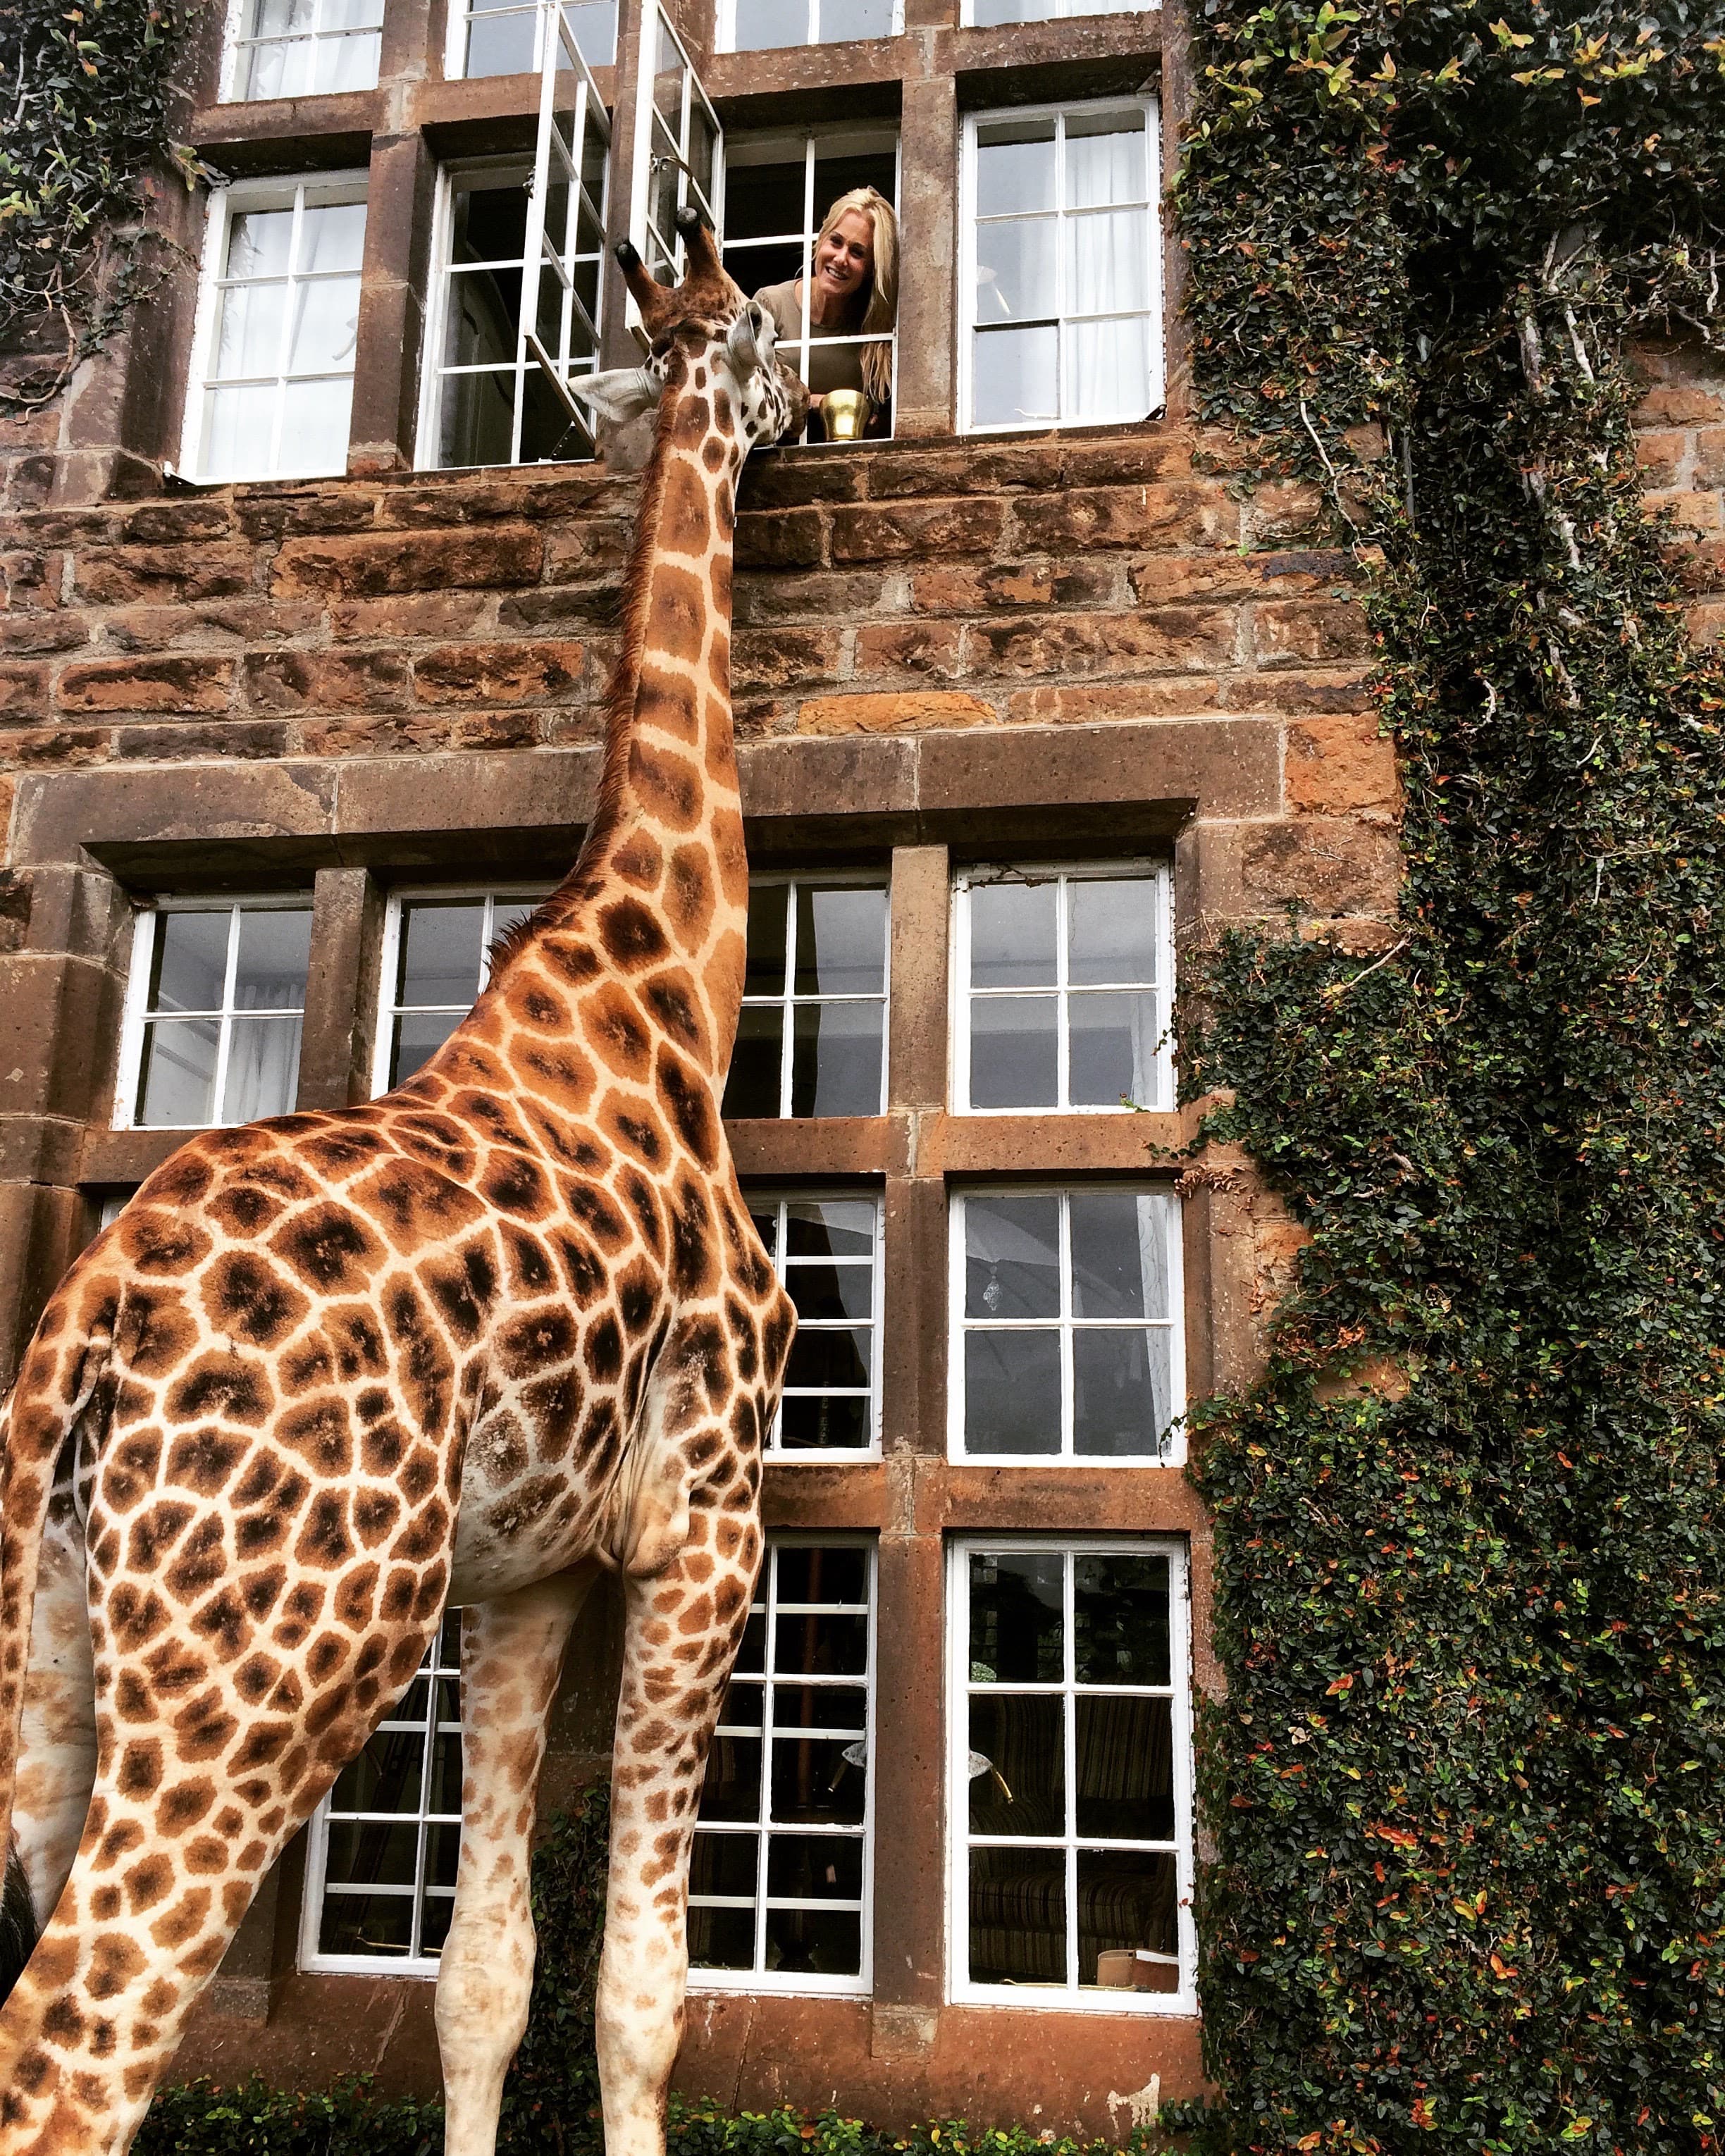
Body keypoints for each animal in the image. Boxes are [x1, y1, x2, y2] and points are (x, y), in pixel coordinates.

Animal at [0, 207, 806, 2156]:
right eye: (759, 323)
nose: (820, 403)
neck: (664, 989)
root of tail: (97, 1320)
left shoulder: (523, 1575)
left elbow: (484, 1976)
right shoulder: (706, 1522)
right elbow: (643, 1991)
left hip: (46, 1655)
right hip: (273, 1661)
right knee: (74, 2049)